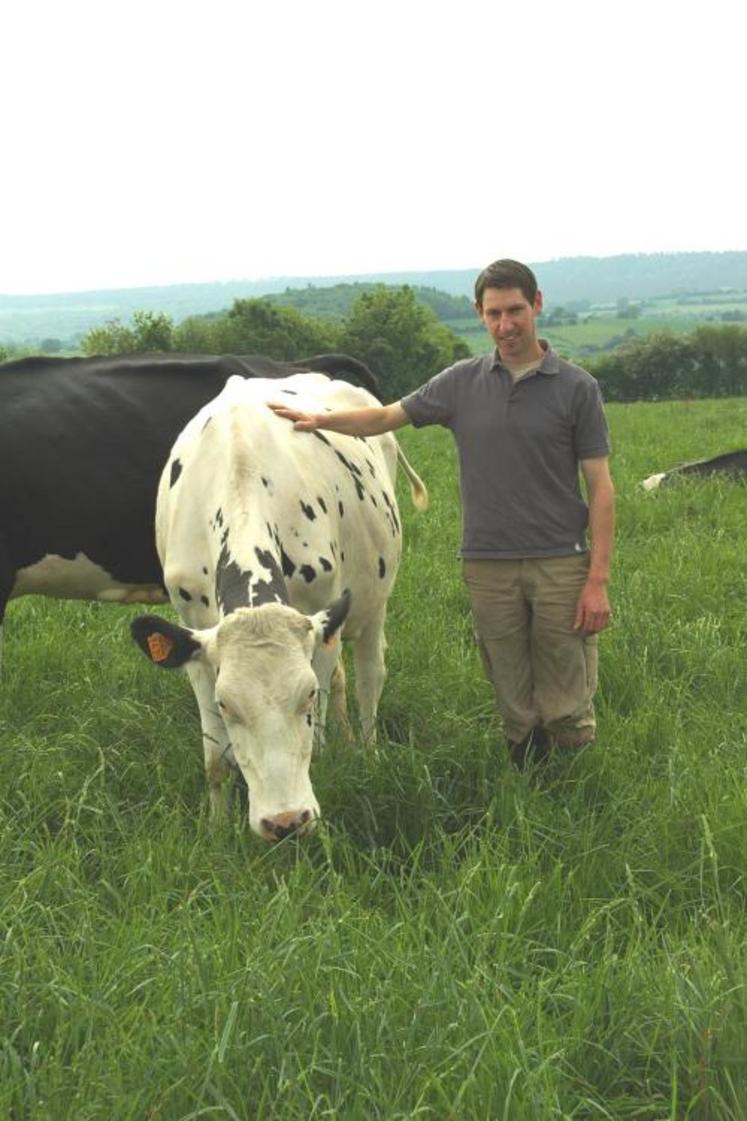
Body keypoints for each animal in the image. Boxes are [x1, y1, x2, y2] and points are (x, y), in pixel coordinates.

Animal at [127, 374, 423, 842]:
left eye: (306, 695)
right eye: (225, 704)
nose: (284, 821)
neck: (241, 476)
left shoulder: (320, 620)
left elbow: (315, 736)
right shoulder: (193, 635)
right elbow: (215, 758)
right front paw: (216, 829)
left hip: (374, 600)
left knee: (369, 676)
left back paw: (367, 750)